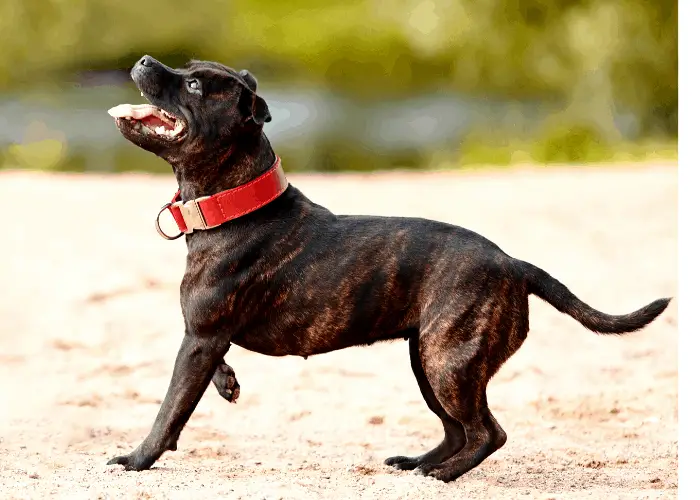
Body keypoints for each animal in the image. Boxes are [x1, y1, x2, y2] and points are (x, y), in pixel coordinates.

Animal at [105, 53, 672, 480]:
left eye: (194, 84)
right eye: (187, 67)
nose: (144, 60)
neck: (235, 203)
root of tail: (513, 263)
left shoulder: (198, 340)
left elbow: (170, 410)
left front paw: (137, 458)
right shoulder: (207, 338)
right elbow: (209, 374)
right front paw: (227, 384)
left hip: (448, 362)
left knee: (487, 432)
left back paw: (440, 476)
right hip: (429, 360)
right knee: (457, 429)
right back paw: (417, 463)